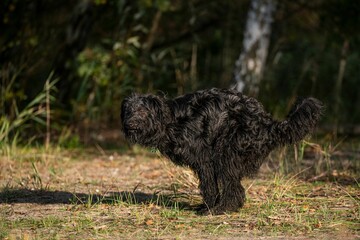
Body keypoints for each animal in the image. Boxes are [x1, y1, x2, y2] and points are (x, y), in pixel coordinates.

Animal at [120, 88, 324, 216]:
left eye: (143, 112)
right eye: (128, 111)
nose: (129, 124)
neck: (170, 120)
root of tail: (267, 123)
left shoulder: (204, 160)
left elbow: (209, 186)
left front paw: (208, 206)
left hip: (226, 152)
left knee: (234, 187)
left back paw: (222, 209)